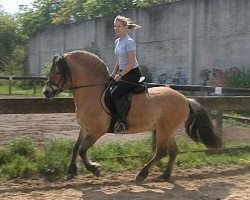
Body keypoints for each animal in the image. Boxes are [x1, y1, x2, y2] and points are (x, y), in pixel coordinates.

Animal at [42, 50, 222, 183]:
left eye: (57, 71)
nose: (46, 92)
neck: (92, 92)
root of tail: (185, 99)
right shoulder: (85, 128)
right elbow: (75, 147)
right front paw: (71, 172)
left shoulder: (97, 131)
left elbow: (82, 150)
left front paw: (95, 169)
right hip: (166, 130)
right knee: (172, 151)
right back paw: (164, 176)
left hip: (164, 130)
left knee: (161, 152)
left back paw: (142, 174)